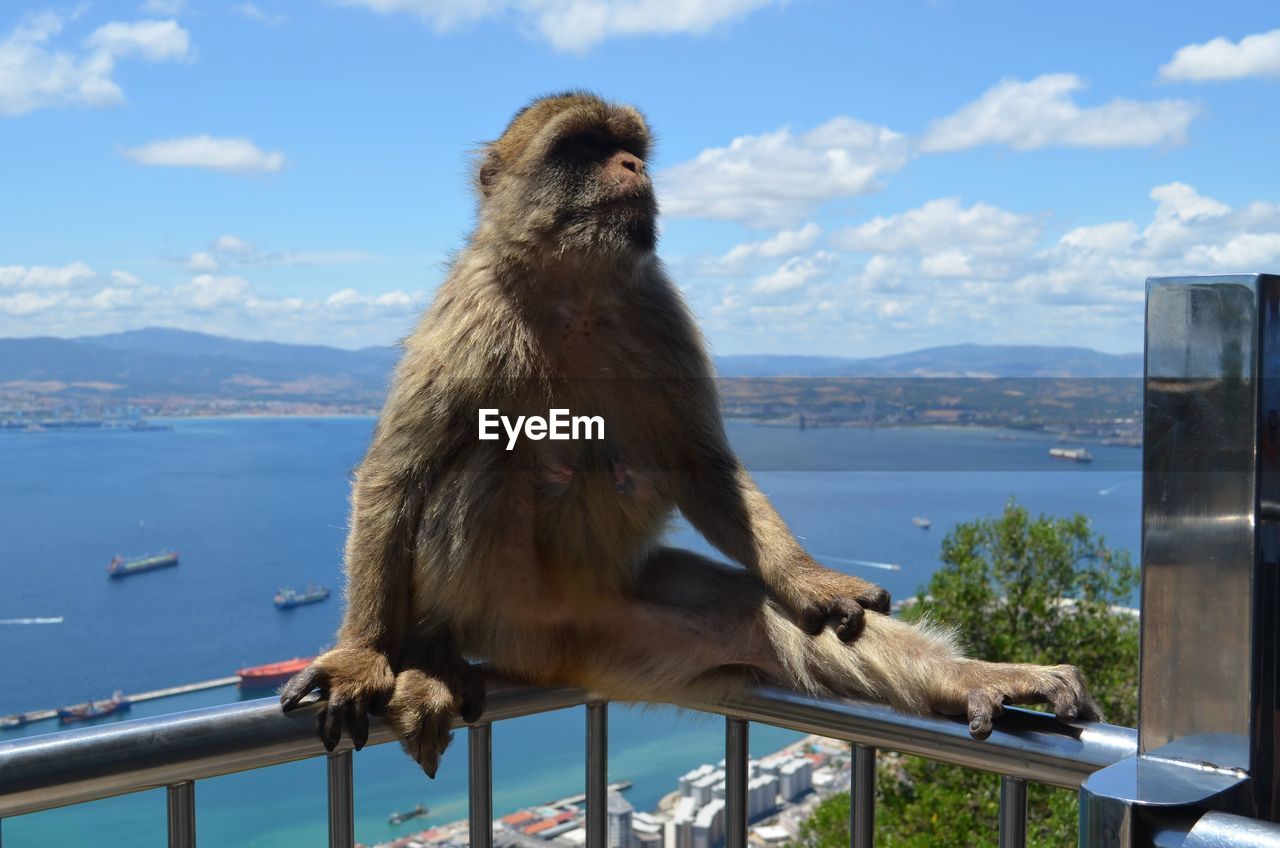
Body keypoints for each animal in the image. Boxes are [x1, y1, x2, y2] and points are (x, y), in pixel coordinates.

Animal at [280, 91, 1100, 778]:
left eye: (630, 146)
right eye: (583, 146)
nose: (633, 167)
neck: (576, 290)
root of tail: (557, 651)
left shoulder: (659, 309)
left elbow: (702, 465)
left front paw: (811, 578)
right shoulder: (467, 317)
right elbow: (399, 474)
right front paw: (361, 656)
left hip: (622, 628)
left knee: (755, 616)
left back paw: (972, 680)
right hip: (502, 617)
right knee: (481, 462)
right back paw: (432, 655)